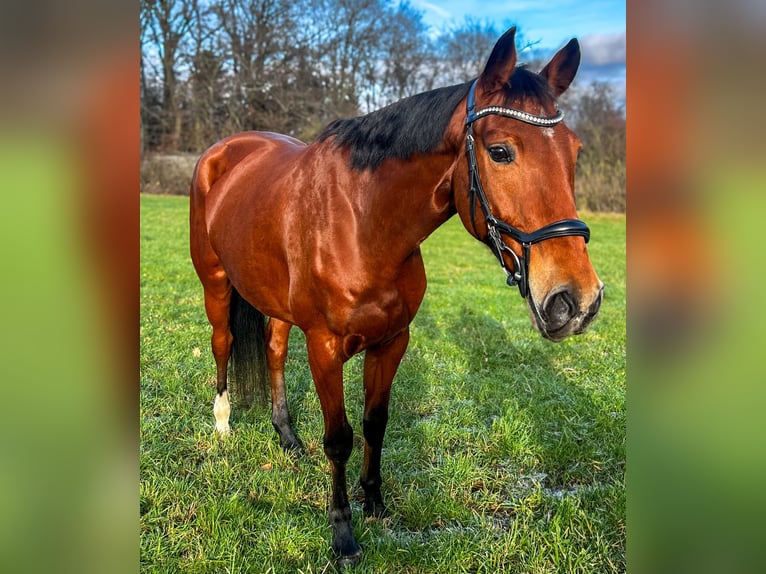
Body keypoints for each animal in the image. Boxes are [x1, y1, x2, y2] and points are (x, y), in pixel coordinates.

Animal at [190, 28, 608, 568]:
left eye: (575, 153)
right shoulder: (325, 346)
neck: (363, 221)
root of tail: (223, 151)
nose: (577, 301)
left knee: (273, 349)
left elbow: (375, 423)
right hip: (216, 283)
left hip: (276, 302)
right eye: (500, 152)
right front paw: (343, 535)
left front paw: (375, 503)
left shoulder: (392, 341)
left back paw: (287, 437)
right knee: (223, 342)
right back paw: (223, 425)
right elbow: (340, 439)